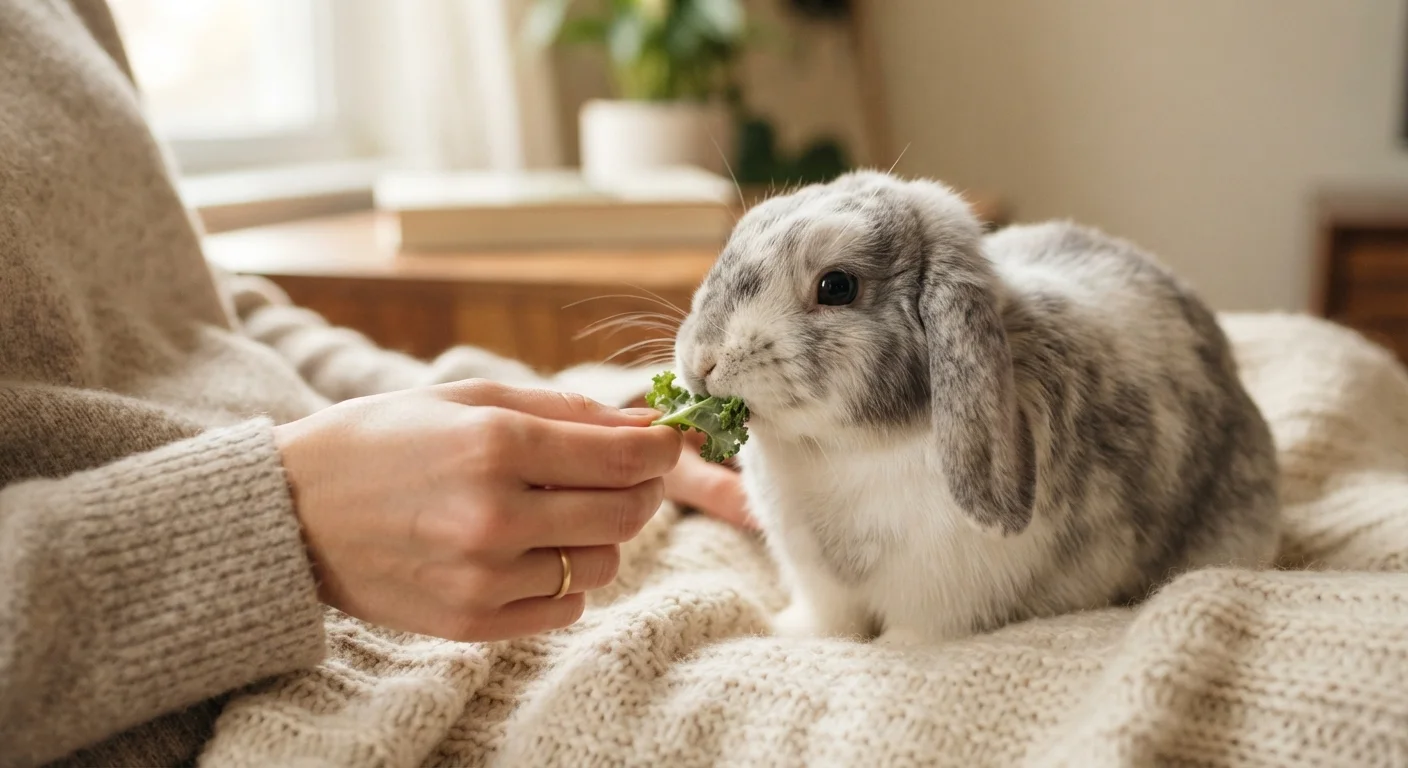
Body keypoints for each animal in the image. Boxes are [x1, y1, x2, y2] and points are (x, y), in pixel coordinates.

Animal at [670, 170, 1281, 646]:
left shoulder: (939, 596)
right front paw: (793, 634)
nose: (702, 359)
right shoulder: (822, 585)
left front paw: (892, 647)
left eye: (837, 286)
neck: (837, 449)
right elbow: (829, 621)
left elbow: (913, 634)